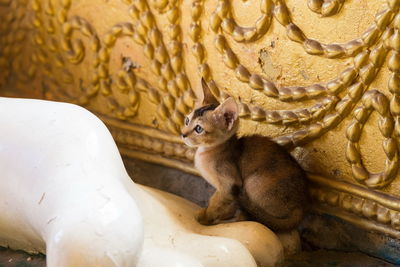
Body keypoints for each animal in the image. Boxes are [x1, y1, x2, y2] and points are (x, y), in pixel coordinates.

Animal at [181, 78, 310, 231]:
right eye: (187, 120)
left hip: (252, 182)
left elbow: (215, 203)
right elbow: (225, 205)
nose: (183, 134)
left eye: (199, 129)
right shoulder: (229, 191)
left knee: (255, 218)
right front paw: (221, 215)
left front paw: (206, 219)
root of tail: (301, 207)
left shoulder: (230, 184)